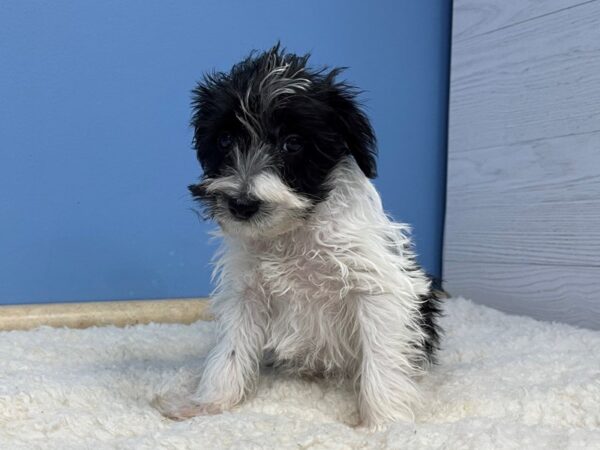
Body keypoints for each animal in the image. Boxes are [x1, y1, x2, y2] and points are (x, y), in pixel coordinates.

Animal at [157, 45, 442, 428]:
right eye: (225, 139)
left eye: (292, 144)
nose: (241, 204)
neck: (293, 232)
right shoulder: (246, 292)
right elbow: (230, 350)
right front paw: (208, 404)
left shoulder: (376, 285)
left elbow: (382, 358)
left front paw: (385, 422)